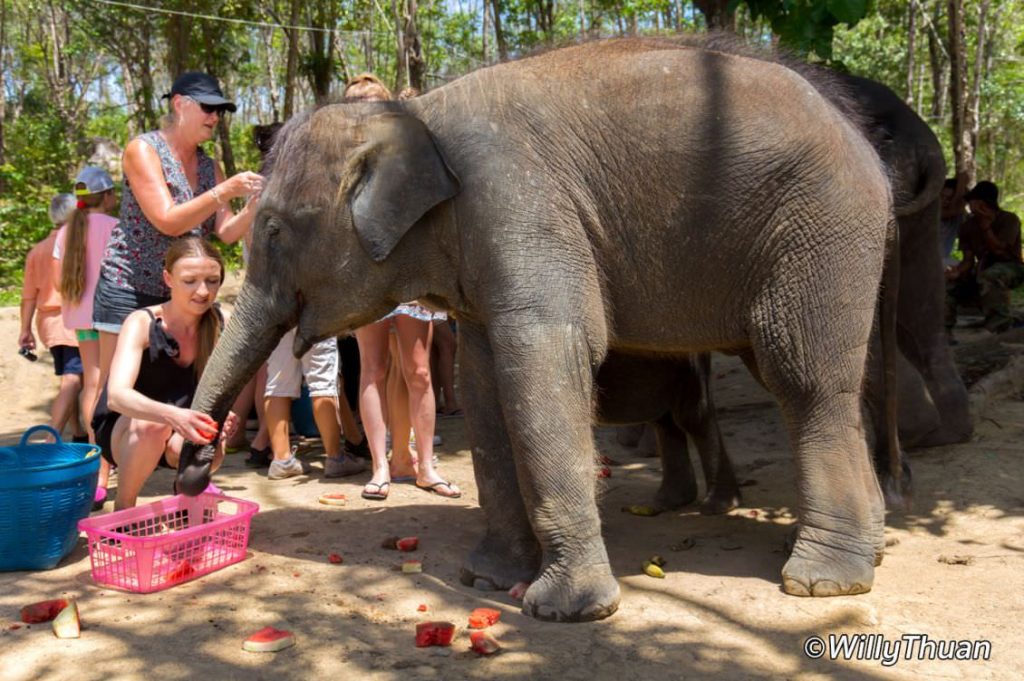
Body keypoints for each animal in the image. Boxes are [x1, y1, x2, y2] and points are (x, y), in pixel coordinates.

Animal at [178, 38, 897, 622]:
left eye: (273, 229)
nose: (195, 469)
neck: (417, 114)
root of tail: (865, 142)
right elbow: (484, 383)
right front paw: (487, 578)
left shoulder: (519, 206)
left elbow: (546, 358)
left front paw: (566, 609)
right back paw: (869, 550)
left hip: (821, 230)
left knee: (804, 381)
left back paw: (822, 581)